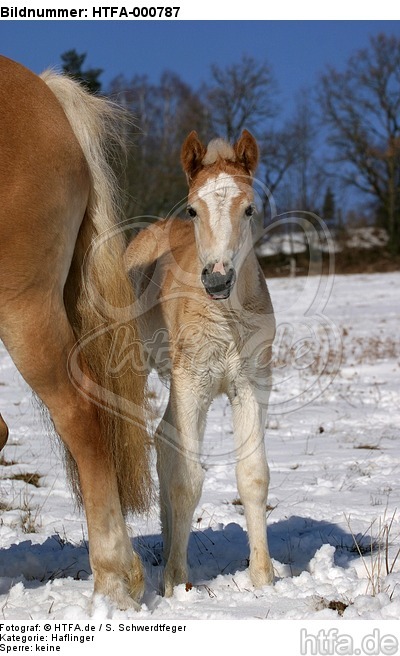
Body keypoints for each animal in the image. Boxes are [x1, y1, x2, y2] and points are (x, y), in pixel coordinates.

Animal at [125, 128, 276, 596]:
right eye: (193, 209)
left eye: (249, 208)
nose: (218, 278)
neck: (226, 317)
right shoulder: (192, 384)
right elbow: (188, 478)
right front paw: (176, 582)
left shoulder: (250, 385)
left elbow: (253, 476)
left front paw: (263, 578)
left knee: (164, 439)